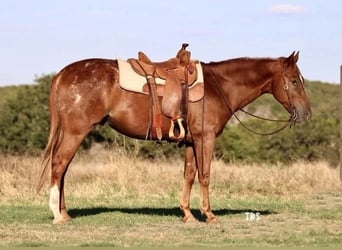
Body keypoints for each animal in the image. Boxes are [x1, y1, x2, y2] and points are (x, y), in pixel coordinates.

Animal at [36, 49, 312, 224]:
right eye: (294, 81)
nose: (307, 114)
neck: (217, 86)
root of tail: (63, 73)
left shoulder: (190, 141)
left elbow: (189, 175)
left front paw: (187, 214)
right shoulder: (205, 138)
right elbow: (205, 175)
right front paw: (209, 215)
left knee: (62, 169)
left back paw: (65, 213)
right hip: (75, 132)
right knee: (59, 165)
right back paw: (57, 215)